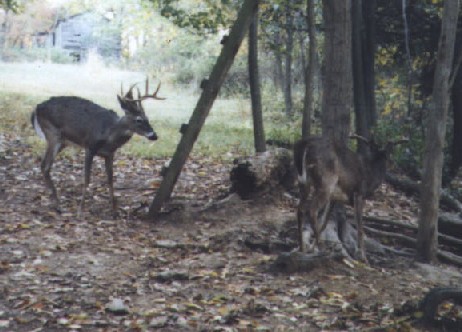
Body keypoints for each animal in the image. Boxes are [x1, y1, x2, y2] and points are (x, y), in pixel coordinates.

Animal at [31, 78, 164, 215]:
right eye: (139, 120)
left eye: (147, 118)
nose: (154, 135)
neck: (109, 134)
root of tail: (37, 108)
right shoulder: (89, 147)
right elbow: (87, 178)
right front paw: (80, 209)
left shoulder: (109, 154)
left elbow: (110, 180)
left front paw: (114, 211)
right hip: (53, 134)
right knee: (45, 165)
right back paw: (58, 205)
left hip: (63, 141)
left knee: (44, 166)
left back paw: (57, 203)